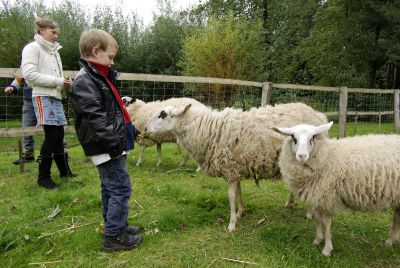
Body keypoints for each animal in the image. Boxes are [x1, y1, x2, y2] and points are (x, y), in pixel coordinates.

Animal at [145, 101, 326, 231]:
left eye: (163, 114)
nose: (144, 128)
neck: (210, 130)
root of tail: (319, 115)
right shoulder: (235, 168)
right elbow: (239, 192)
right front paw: (240, 213)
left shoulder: (231, 170)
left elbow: (231, 196)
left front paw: (231, 224)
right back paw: (290, 203)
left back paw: (310, 213)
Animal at [270, 122, 400, 256]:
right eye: (293, 137)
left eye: (312, 138)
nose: (302, 156)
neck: (328, 156)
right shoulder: (318, 198)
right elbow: (318, 220)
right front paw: (317, 240)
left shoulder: (327, 198)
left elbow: (326, 224)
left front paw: (327, 249)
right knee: (397, 216)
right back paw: (390, 241)